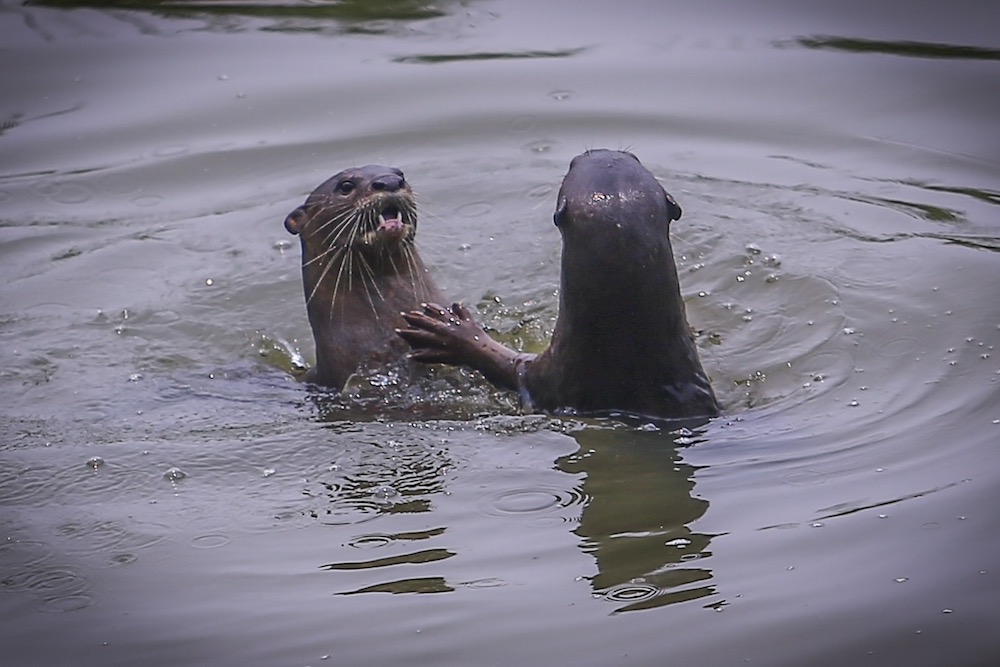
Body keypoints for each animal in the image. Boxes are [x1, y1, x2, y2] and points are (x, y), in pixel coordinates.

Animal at [397, 150, 719, 420]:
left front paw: (452, 333)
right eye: (634, 156)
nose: (593, 151)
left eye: (573, 164)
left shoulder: (547, 376)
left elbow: (503, 364)